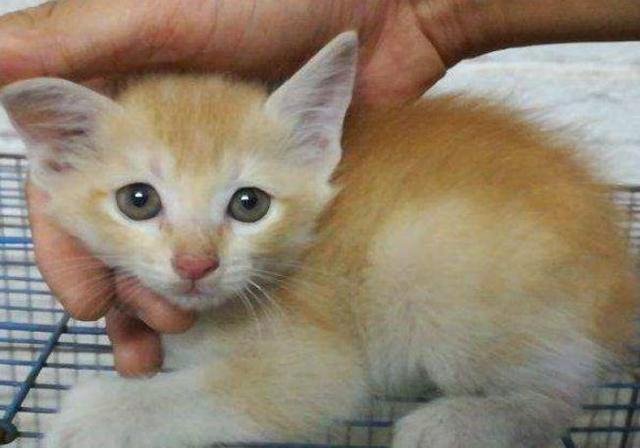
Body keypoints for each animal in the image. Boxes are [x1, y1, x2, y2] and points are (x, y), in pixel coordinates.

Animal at [0, 32, 637, 448]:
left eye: (249, 204)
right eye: (139, 201)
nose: (196, 264)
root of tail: (617, 267)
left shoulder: (316, 361)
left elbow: (226, 392)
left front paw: (98, 415)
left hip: (420, 257)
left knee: (560, 391)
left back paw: (456, 424)